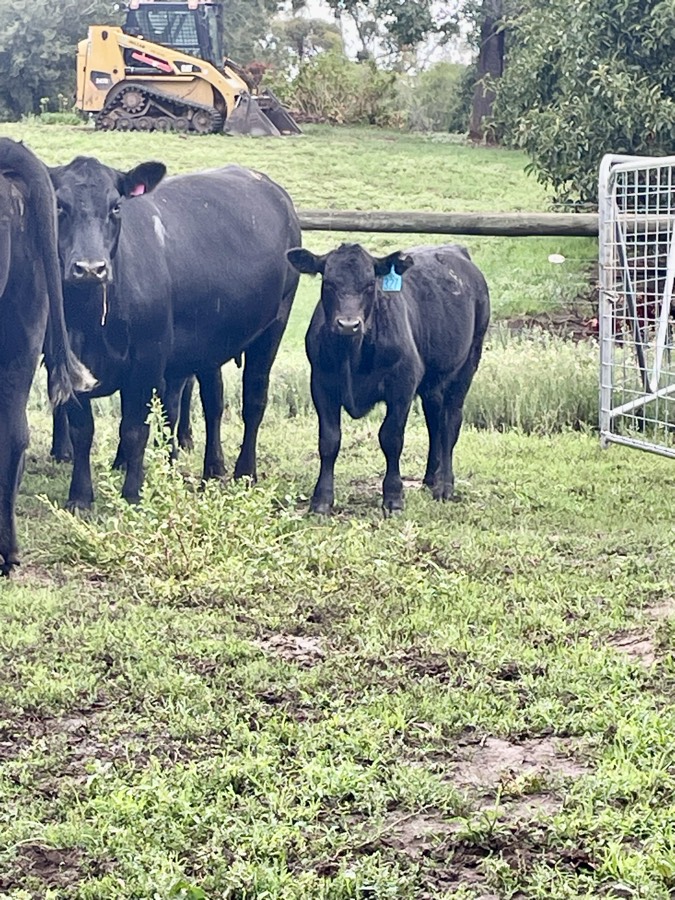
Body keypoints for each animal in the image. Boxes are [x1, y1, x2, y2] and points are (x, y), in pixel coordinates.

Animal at [48, 158, 301, 510]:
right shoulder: (67, 363)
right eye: (60, 205)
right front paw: (80, 498)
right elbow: (82, 430)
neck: (91, 318)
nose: (90, 268)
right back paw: (212, 470)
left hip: (273, 327)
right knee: (213, 403)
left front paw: (133, 493)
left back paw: (245, 473)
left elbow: (134, 430)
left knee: (253, 400)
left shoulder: (147, 361)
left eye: (116, 207)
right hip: (209, 343)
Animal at [287, 242, 490, 515]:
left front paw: (393, 497)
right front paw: (321, 500)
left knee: (450, 423)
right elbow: (329, 441)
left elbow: (391, 438)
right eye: (328, 283)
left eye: (369, 285)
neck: (352, 354)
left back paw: (444, 486)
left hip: (467, 364)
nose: (348, 324)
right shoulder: (321, 385)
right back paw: (430, 478)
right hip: (432, 381)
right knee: (434, 421)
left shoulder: (402, 386)